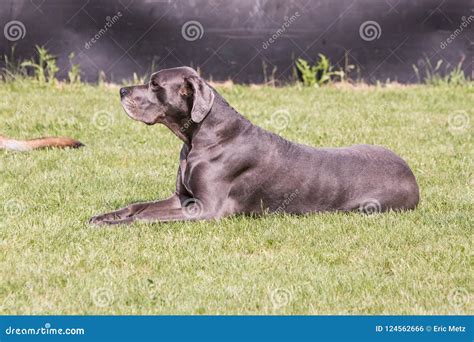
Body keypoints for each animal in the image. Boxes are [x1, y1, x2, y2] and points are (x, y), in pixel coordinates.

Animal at [90, 67, 418, 226]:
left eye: (155, 85)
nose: (121, 90)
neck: (201, 136)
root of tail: (412, 175)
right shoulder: (182, 199)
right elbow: (137, 206)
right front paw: (105, 217)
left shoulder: (207, 209)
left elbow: (144, 216)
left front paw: (115, 225)